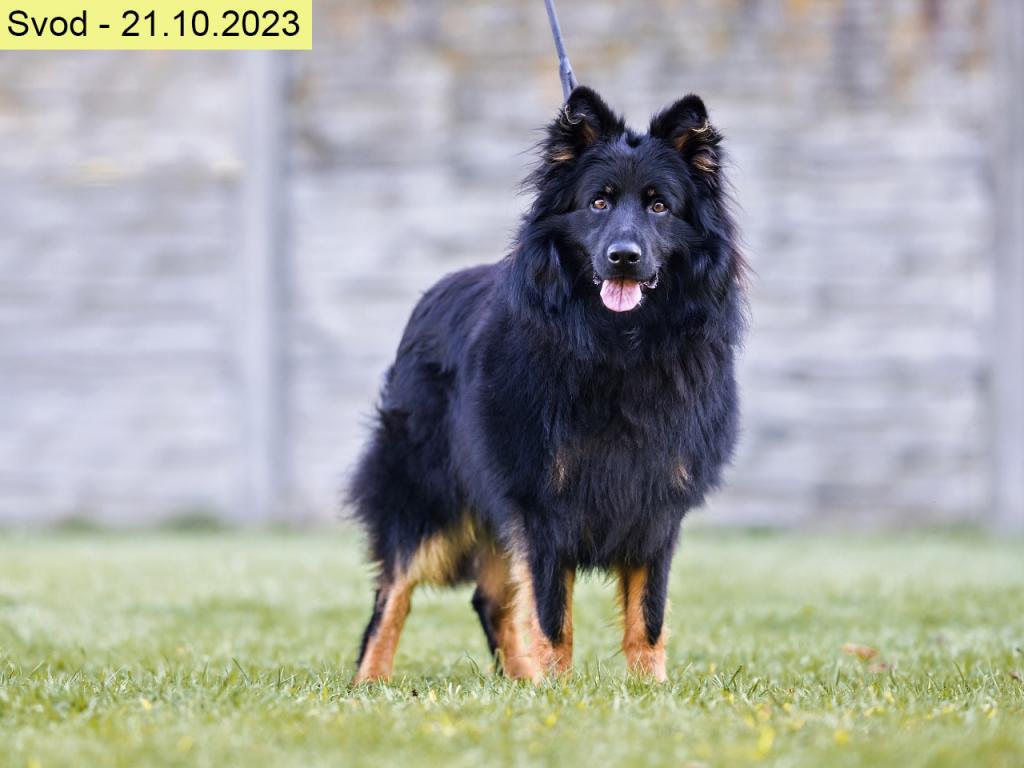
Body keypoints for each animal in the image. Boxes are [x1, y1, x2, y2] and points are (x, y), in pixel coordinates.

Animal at [349, 86, 746, 683]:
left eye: (659, 206)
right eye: (599, 203)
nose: (623, 258)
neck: (617, 345)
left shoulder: (656, 505)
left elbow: (648, 616)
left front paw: (649, 689)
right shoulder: (540, 506)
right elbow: (552, 616)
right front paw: (559, 690)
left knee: (490, 599)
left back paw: (519, 682)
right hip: (423, 493)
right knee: (392, 594)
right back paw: (369, 681)